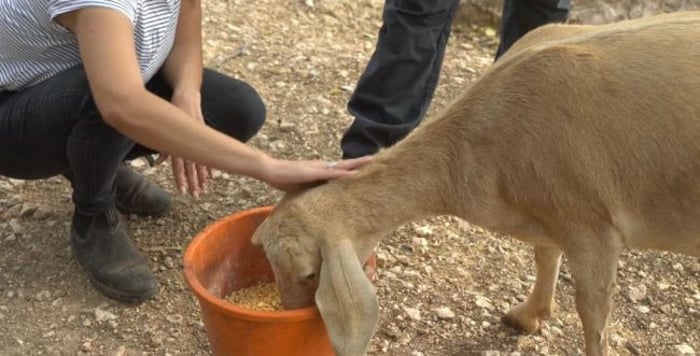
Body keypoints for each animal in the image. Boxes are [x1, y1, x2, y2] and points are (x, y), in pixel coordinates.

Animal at [252, 11, 700, 356]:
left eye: (309, 274)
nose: (287, 309)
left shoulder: (592, 224)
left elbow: (593, 313)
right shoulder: (551, 207)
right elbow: (544, 255)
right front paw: (528, 316)